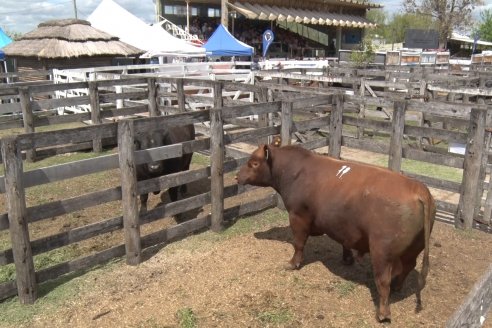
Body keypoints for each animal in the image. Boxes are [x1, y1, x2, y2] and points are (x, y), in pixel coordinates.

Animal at [235, 142, 434, 322]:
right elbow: (345, 242)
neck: (295, 171)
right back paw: (397, 287)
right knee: (408, 266)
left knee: (383, 279)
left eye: (254, 163)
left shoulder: (298, 215)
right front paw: (347, 259)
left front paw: (292, 264)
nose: (237, 176)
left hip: (382, 250)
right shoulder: (342, 225)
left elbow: (299, 243)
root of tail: (419, 188)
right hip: (414, 247)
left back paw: (383, 313)